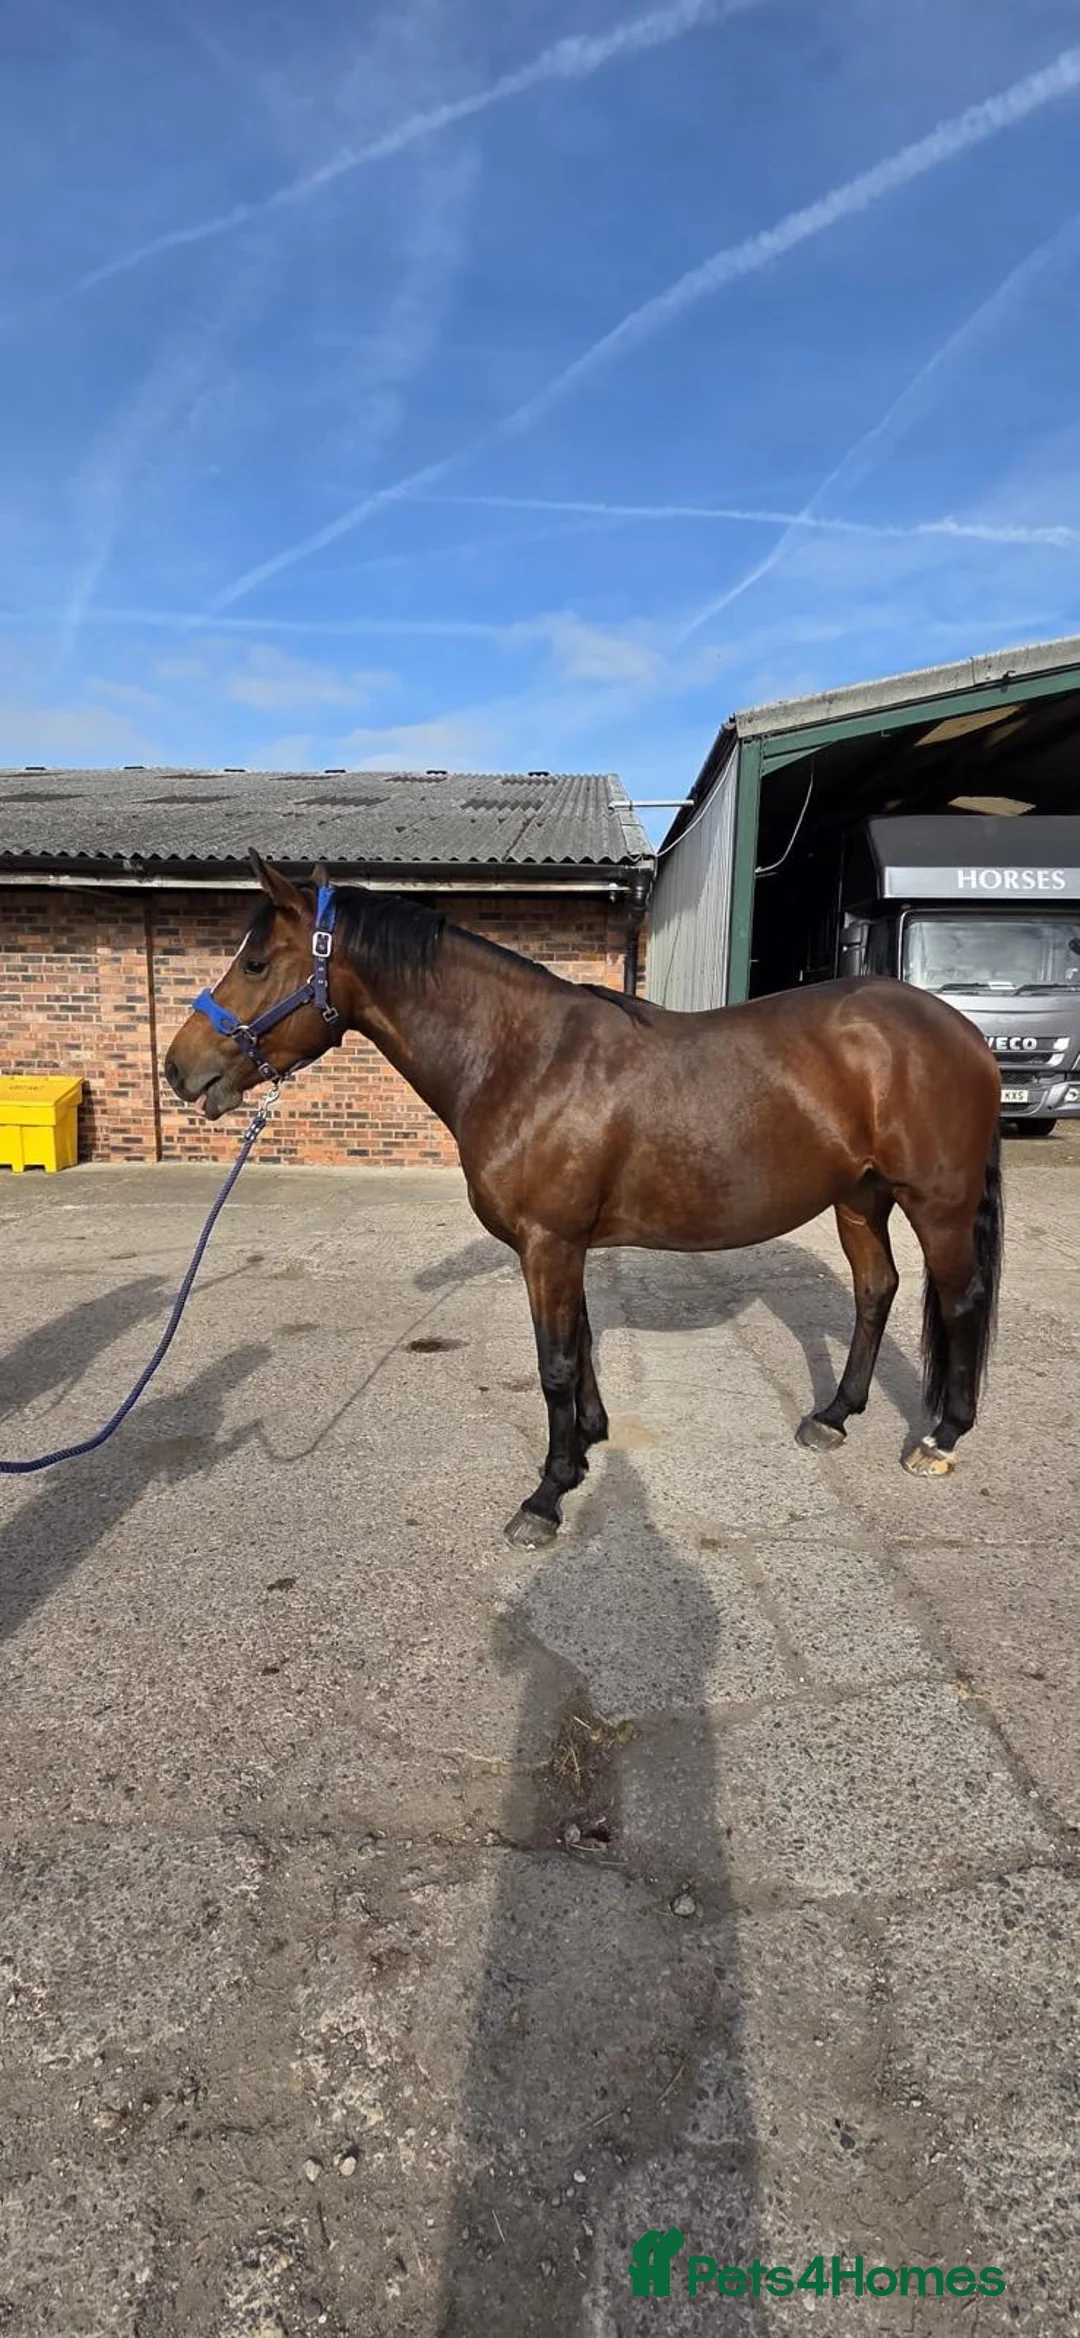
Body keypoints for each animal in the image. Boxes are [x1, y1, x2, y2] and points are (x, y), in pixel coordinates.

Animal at [164, 852, 1004, 1548]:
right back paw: (833, 1417)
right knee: (876, 1290)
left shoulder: (550, 1244)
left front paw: (546, 1495)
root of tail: (960, 1030)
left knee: (960, 1300)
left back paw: (941, 1437)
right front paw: (589, 1444)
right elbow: (584, 1344)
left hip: (936, 1203)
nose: (179, 1070)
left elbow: (557, 1365)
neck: (523, 1060)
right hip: (860, 1198)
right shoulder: (561, 1247)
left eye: (256, 962)